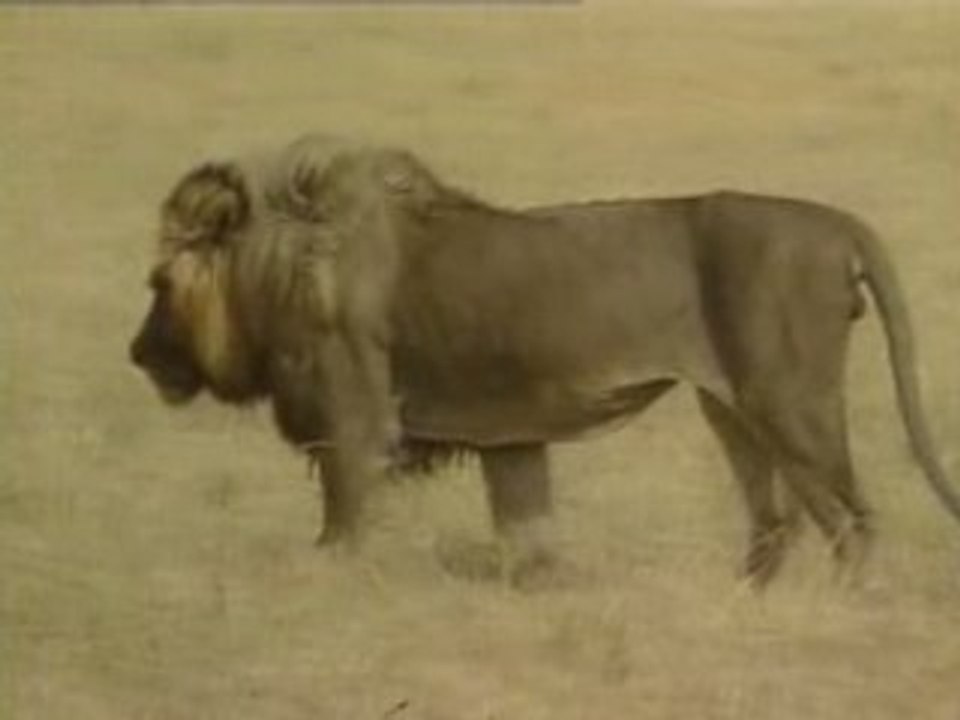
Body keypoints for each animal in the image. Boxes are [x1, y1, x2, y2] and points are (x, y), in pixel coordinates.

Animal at [129, 134, 960, 586]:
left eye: (158, 285)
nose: (136, 354)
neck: (274, 272)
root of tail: (837, 223)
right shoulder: (512, 437)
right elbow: (527, 536)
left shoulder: (355, 425)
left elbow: (343, 525)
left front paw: (325, 586)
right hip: (731, 410)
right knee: (775, 522)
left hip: (790, 402)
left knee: (852, 522)